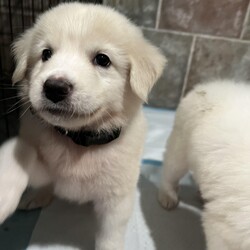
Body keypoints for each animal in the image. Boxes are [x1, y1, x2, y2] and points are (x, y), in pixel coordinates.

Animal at [0, 3, 167, 250]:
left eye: (103, 59)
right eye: (46, 54)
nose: (54, 88)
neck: (78, 140)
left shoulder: (116, 199)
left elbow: (110, 235)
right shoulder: (42, 161)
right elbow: (22, 149)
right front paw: (5, 194)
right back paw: (36, 197)